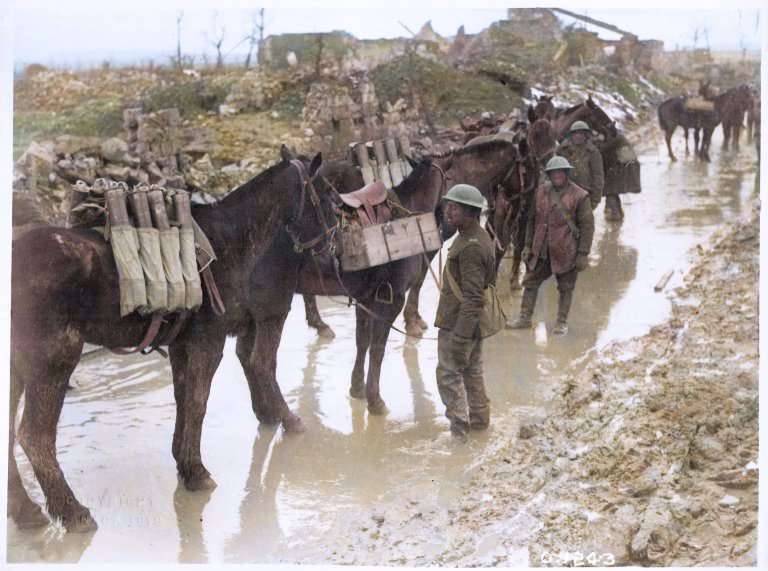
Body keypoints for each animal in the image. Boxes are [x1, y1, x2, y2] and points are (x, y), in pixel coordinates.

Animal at [8, 146, 340, 532]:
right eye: (327, 196)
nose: (332, 245)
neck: (230, 243)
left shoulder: (183, 345)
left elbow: (185, 401)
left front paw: (185, 465)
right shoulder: (208, 342)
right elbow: (198, 403)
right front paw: (197, 473)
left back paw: (25, 511)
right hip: (54, 363)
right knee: (34, 437)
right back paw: (71, 511)